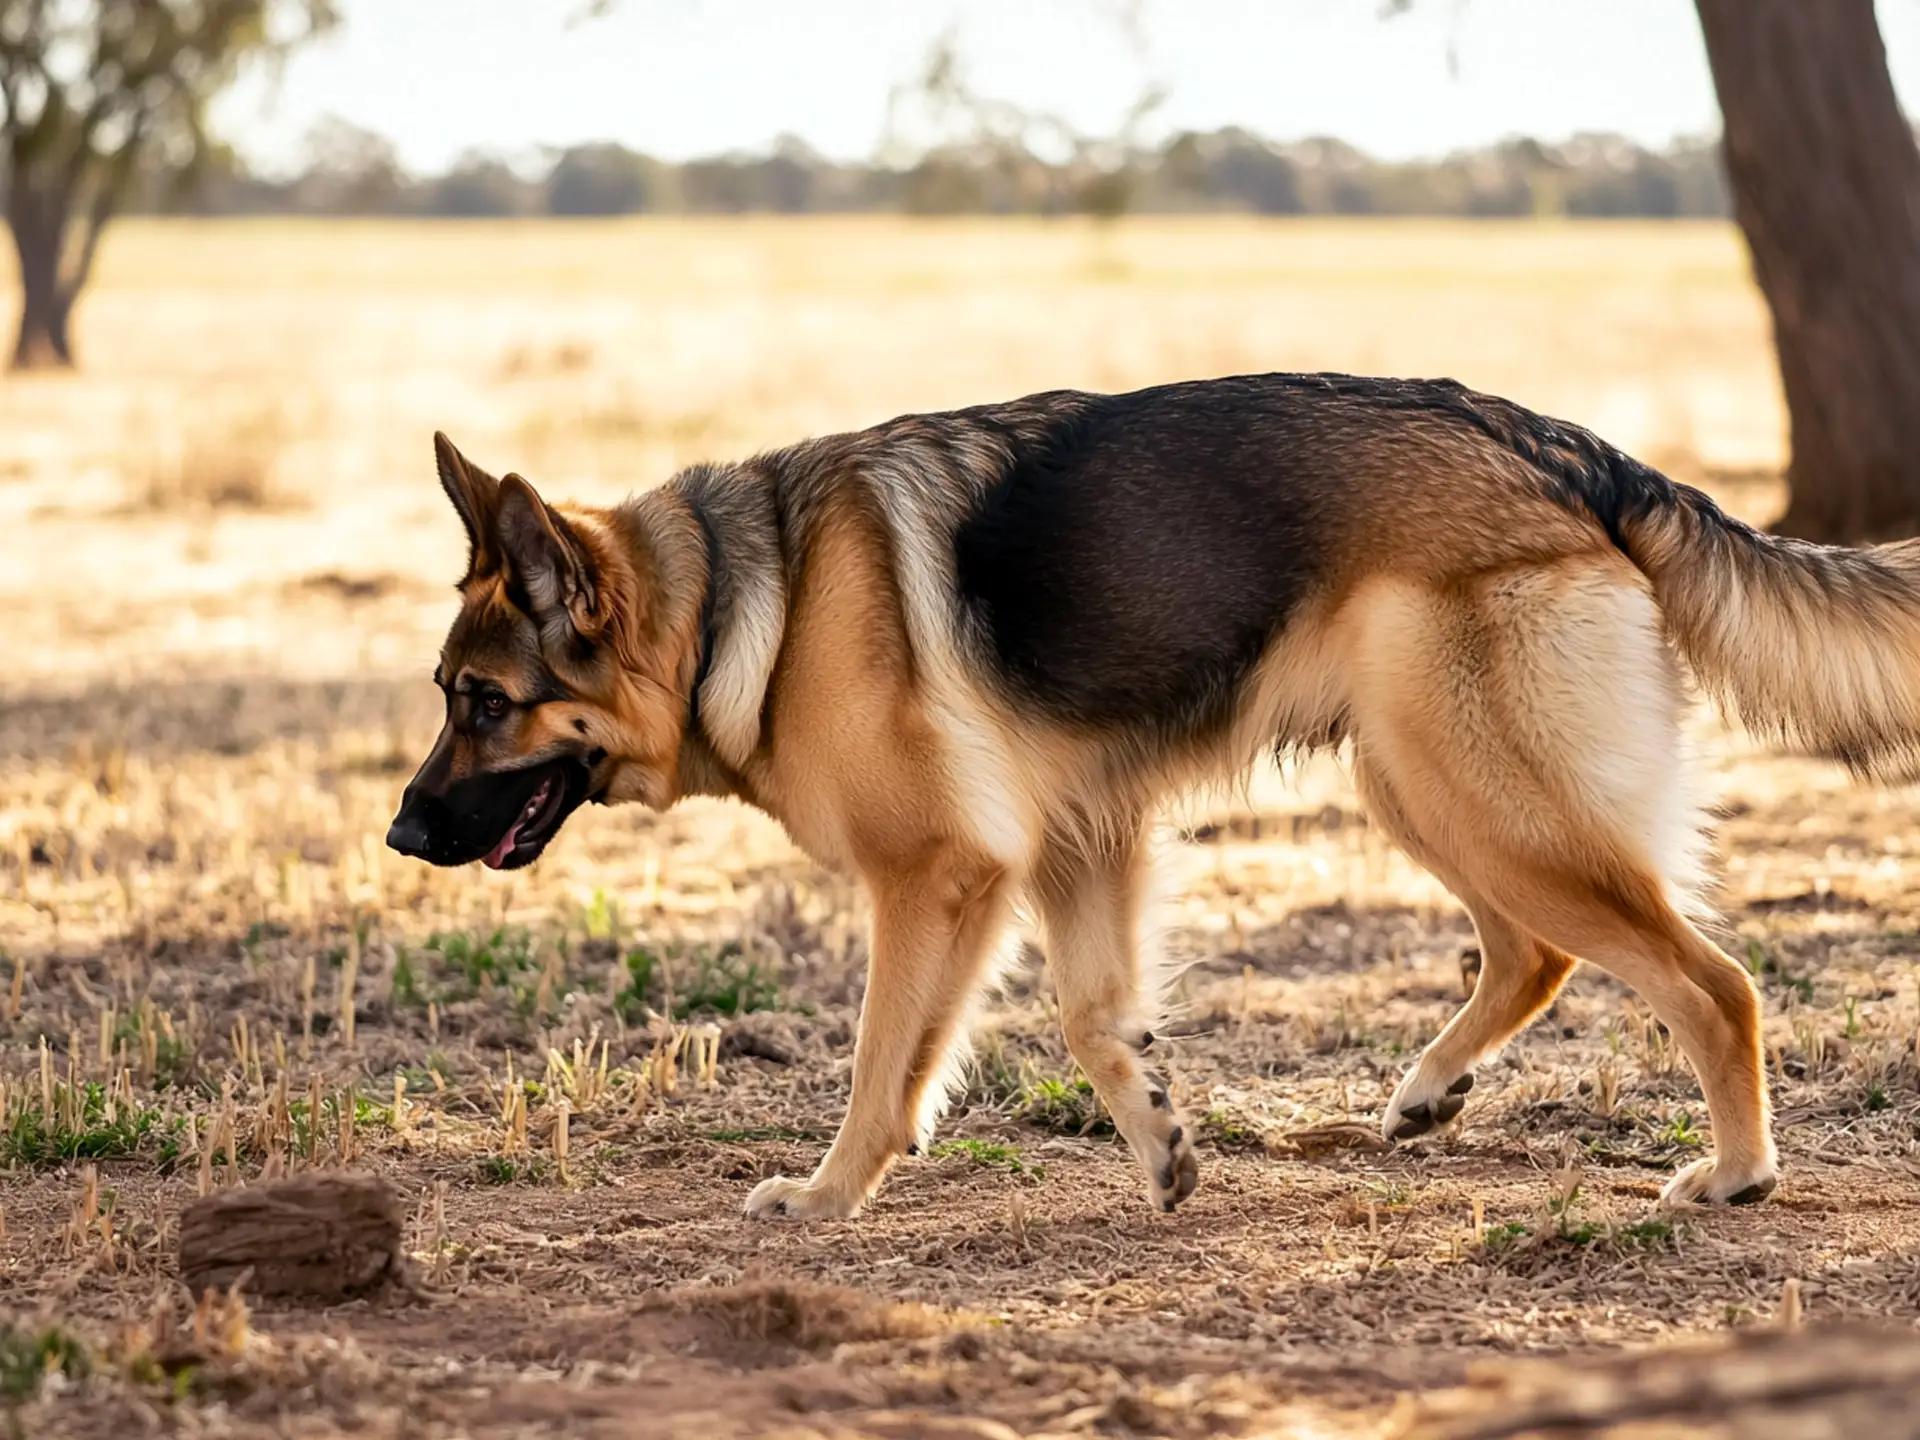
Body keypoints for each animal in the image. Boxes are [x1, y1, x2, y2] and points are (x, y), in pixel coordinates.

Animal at [385, 372, 1920, 1221]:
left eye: (481, 704)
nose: (398, 832)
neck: (731, 608)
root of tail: (1567, 451)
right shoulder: (1077, 844)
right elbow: (1092, 1018)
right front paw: (1165, 1150)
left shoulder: (937, 874)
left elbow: (884, 1068)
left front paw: (823, 1198)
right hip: (1421, 784)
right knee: (1536, 954)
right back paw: (1428, 1092)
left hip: (1476, 793)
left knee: (1712, 983)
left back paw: (1736, 1176)